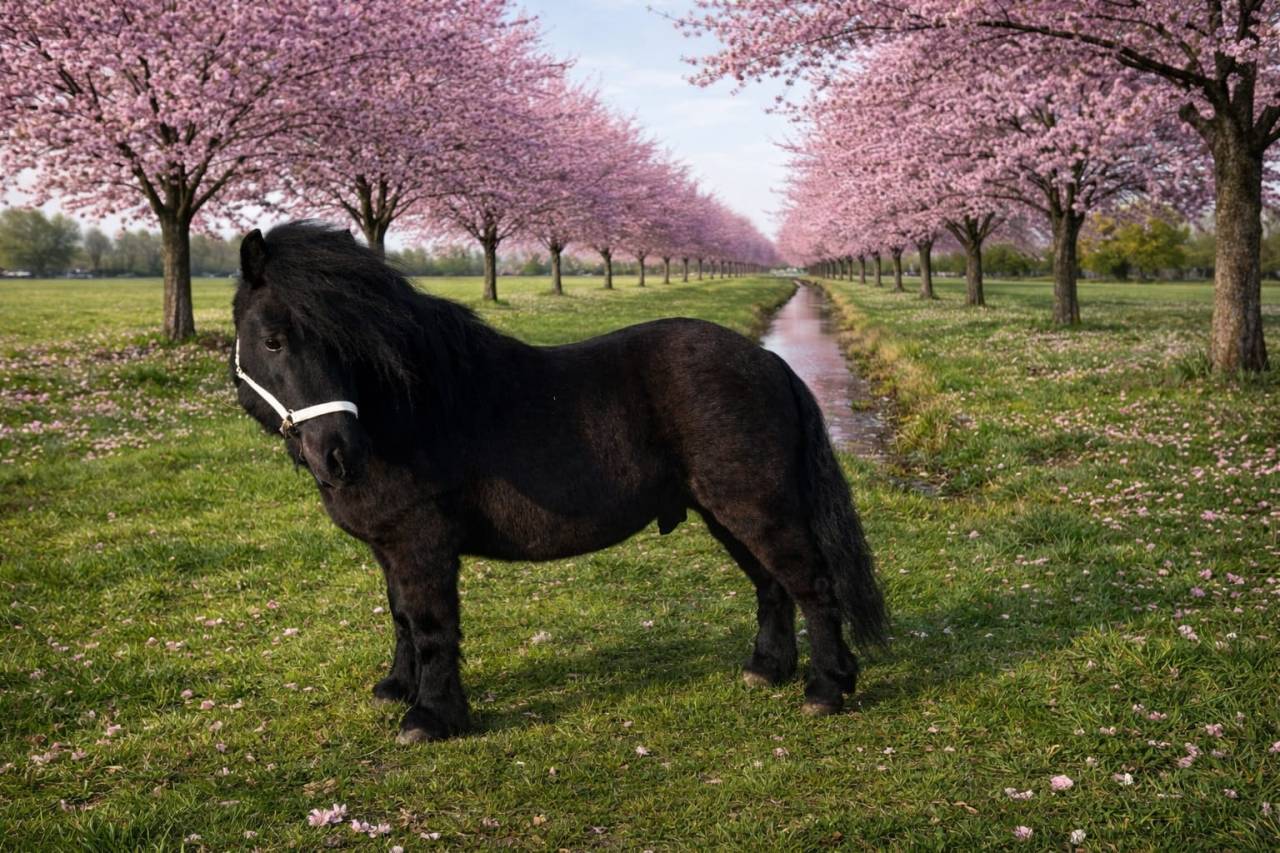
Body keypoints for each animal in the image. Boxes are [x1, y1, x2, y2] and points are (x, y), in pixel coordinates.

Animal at [231, 221, 888, 743]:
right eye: (273, 341)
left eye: (348, 344)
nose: (337, 456)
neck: (410, 412)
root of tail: (769, 361)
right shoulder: (390, 549)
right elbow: (401, 619)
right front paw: (397, 687)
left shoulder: (422, 546)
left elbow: (432, 626)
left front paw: (432, 717)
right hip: (725, 513)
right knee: (772, 584)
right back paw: (766, 669)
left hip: (757, 507)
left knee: (811, 585)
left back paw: (826, 689)